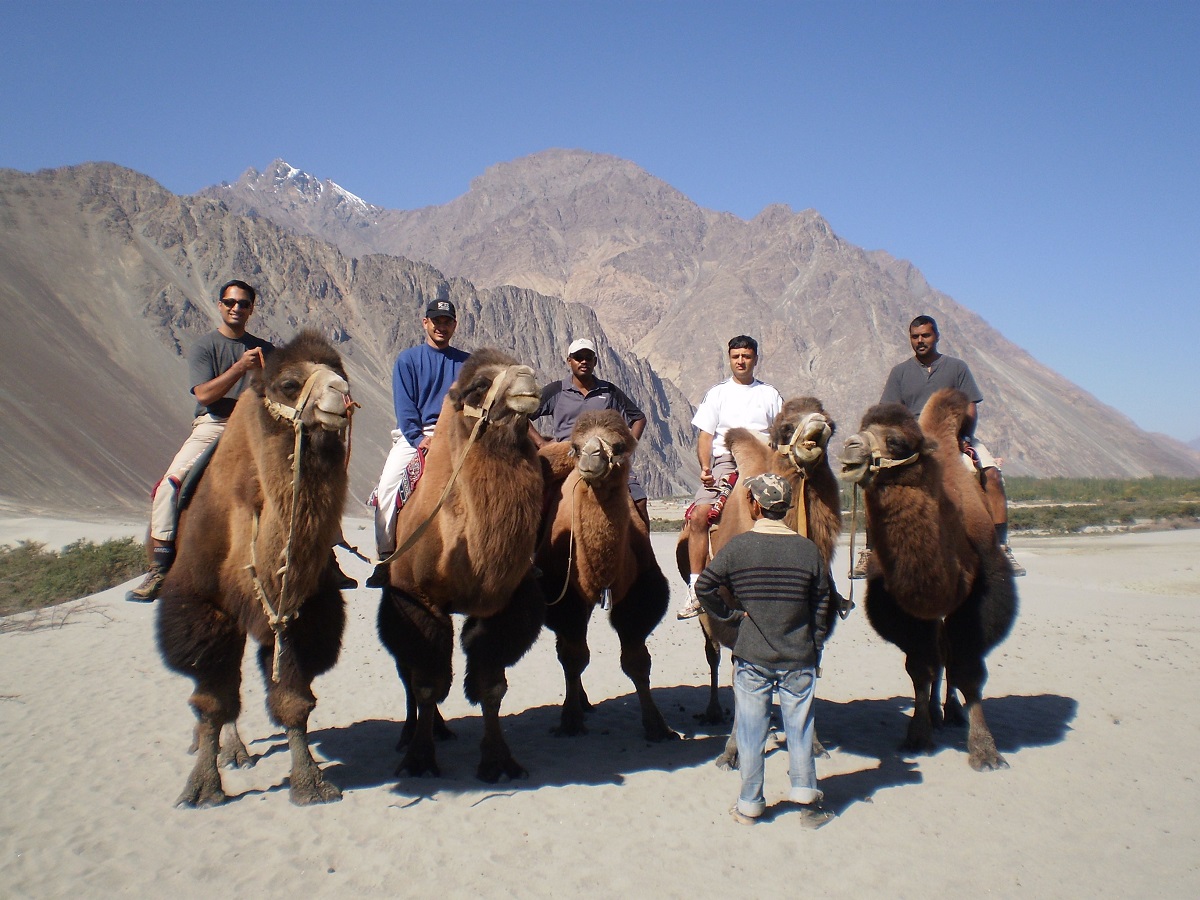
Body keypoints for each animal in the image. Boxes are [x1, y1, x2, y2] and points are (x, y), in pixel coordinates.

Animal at [157, 330, 354, 807]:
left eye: (339, 371)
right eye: (288, 384)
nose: (340, 394)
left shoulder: (300, 612)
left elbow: (293, 699)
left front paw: (310, 783)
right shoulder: (203, 605)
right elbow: (211, 700)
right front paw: (202, 787)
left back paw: (236, 750)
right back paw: (215, 747)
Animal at [376, 349, 546, 783]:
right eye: (479, 385)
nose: (529, 380)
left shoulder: (501, 603)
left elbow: (491, 685)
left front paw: (499, 761)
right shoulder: (415, 597)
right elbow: (424, 682)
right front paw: (419, 758)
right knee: (408, 669)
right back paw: (414, 732)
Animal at [536, 410, 676, 741]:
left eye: (619, 445)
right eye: (576, 446)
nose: (591, 456)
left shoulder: (639, 591)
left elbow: (637, 660)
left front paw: (657, 725)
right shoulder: (565, 595)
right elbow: (574, 657)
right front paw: (570, 720)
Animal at [838, 387, 1018, 771]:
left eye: (896, 441)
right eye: (862, 428)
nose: (849, 447)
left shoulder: (982, 599)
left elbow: (968, 670)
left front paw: (985, 750)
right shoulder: (903, 606)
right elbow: (921, 667)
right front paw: (918, 735)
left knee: (948, 653)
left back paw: (952, 713)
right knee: (939, 653)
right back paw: (937, 713)